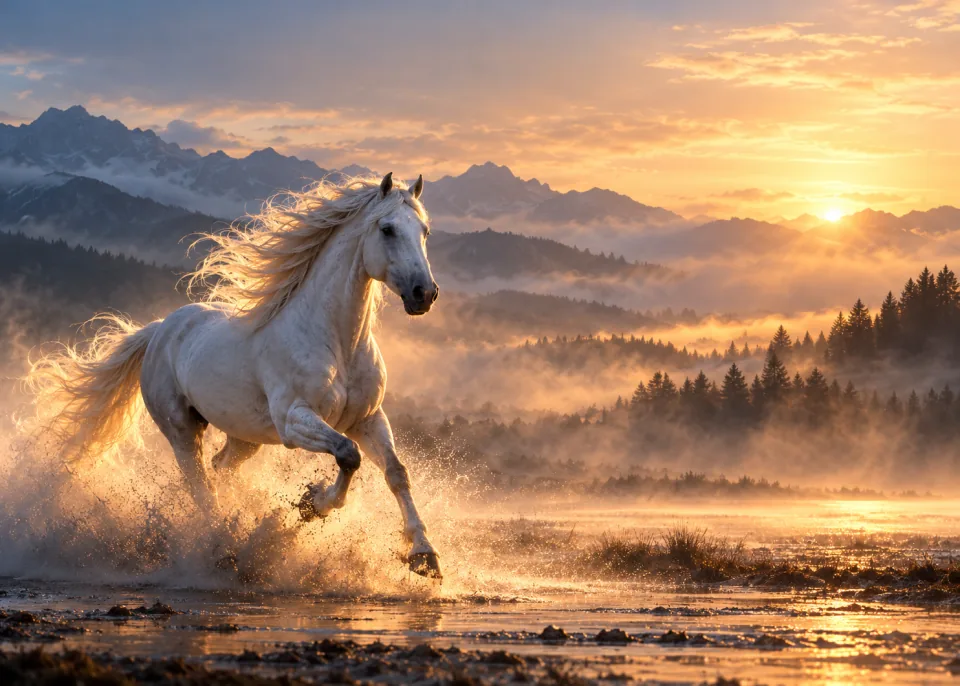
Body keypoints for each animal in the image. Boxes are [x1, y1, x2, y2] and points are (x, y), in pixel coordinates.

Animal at [26, 172, 443, 578]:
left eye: (424, 231)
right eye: (387, 229)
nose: (424, 293)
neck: (336, 342)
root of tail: (160, 330)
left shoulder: (368, 419)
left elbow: (396, 472)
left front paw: (425, 556)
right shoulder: (294, 420)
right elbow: (347, 455)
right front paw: (313, 502)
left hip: (245, 437)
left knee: (219, 469)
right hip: (181, 430)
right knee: (200, 486)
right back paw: (223, 549)